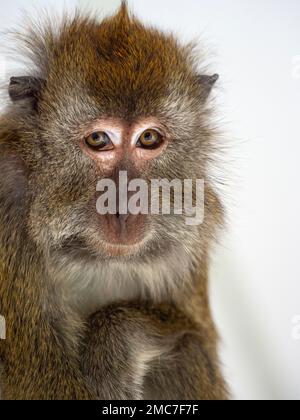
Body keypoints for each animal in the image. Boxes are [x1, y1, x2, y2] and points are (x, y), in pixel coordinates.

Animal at [0, 1, 230, 398]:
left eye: (149, 138)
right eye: (98, 140)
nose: (124, 206)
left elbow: (197, 335)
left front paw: (115, 342)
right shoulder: (8, 212)